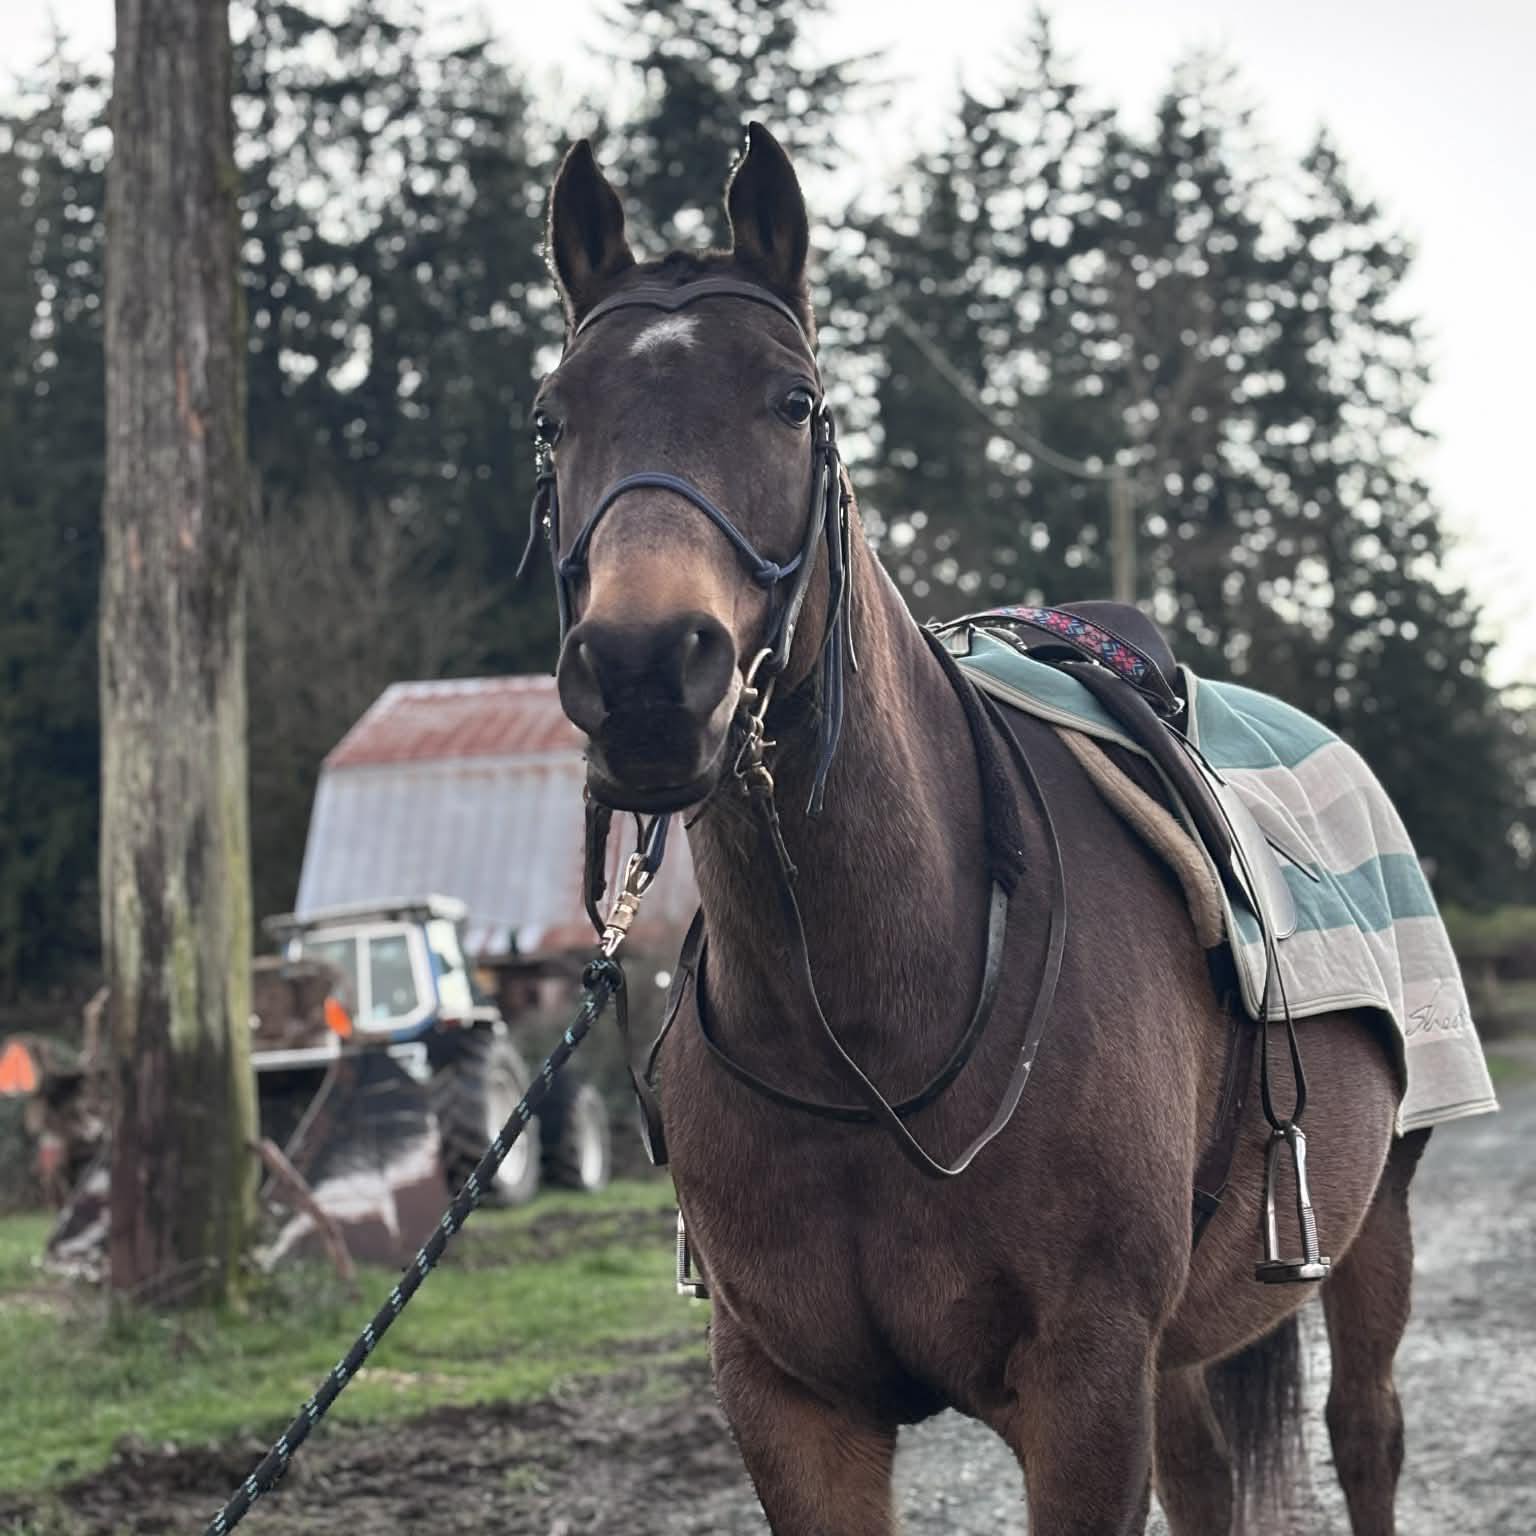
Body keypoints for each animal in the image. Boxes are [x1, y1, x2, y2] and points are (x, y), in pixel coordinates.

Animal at [533, 122, 1427, 1536]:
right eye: (553, 418)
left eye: (796, 404)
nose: (644, 670)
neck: (861, 1027)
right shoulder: (792, 1405)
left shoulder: (1085, 1388)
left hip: (1373, 1216)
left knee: (1366, 1433)